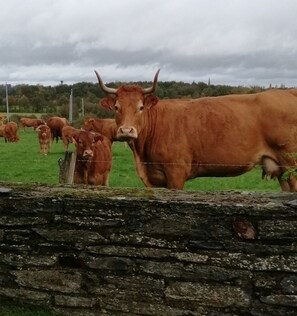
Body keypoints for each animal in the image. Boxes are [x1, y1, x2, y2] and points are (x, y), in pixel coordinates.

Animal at [94, 69, 297, 191]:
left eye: (141, 107)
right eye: (117, 107)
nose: (126, 131)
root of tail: (288, 92)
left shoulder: (176, 173)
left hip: (292, 163)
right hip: (283, 170)